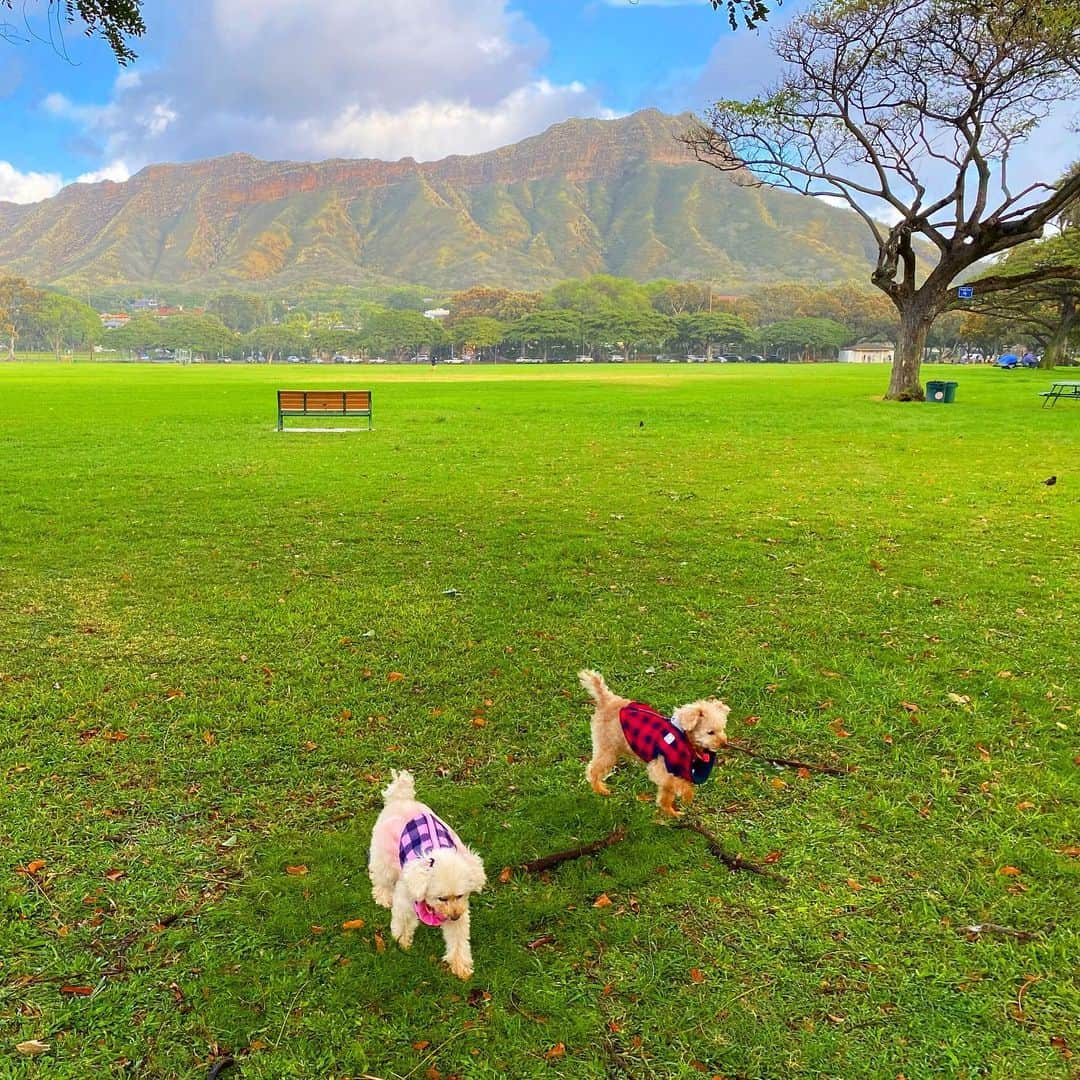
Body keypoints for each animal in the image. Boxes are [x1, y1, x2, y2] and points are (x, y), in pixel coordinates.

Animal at [371, 768, 490, 980]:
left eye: (461, 895)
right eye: (441, 898)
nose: (454, 916)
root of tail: (401, 798)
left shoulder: (460, 913)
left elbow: (458, 940)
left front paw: (460, 965)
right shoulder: (406, 898)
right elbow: (403, 920)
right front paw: (402, 941)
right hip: (383, 855)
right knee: (381, 877)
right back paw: (383, 896)